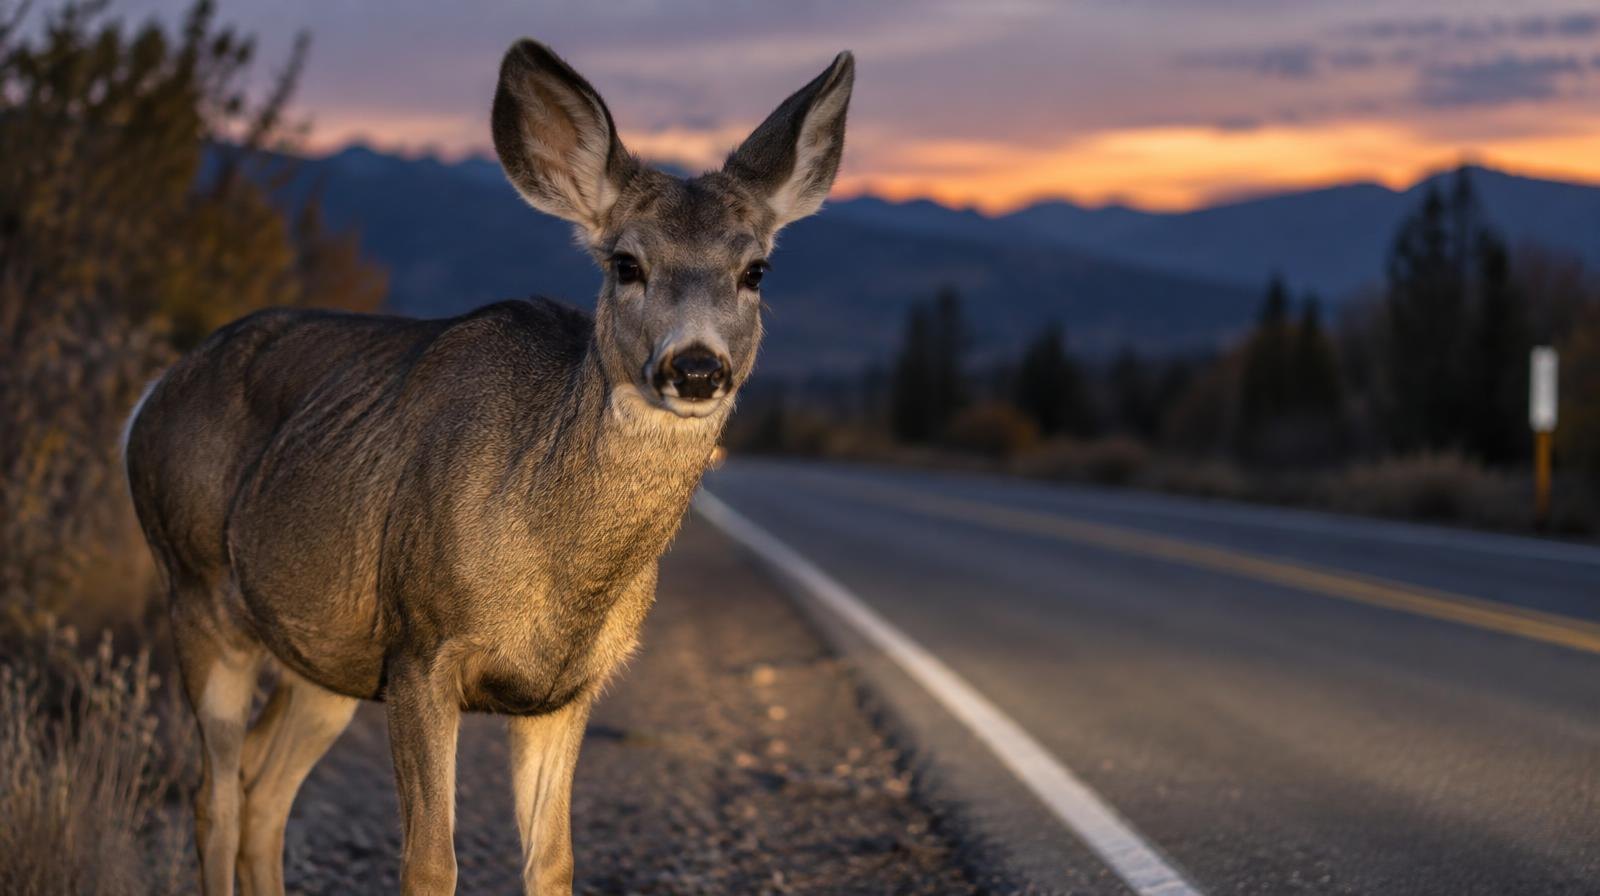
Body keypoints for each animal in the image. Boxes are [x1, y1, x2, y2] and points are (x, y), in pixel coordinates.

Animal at [123, 39, 853, 896]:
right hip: (195, 584)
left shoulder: (564, 690)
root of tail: (151, 396)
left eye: (756, 271)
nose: (697, 367)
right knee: (214, 794)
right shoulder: (421, 647)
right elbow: (430, 862)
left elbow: (553, 859)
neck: (557, 571)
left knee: (263, 788)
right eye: (626, 263)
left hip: (324, 656)